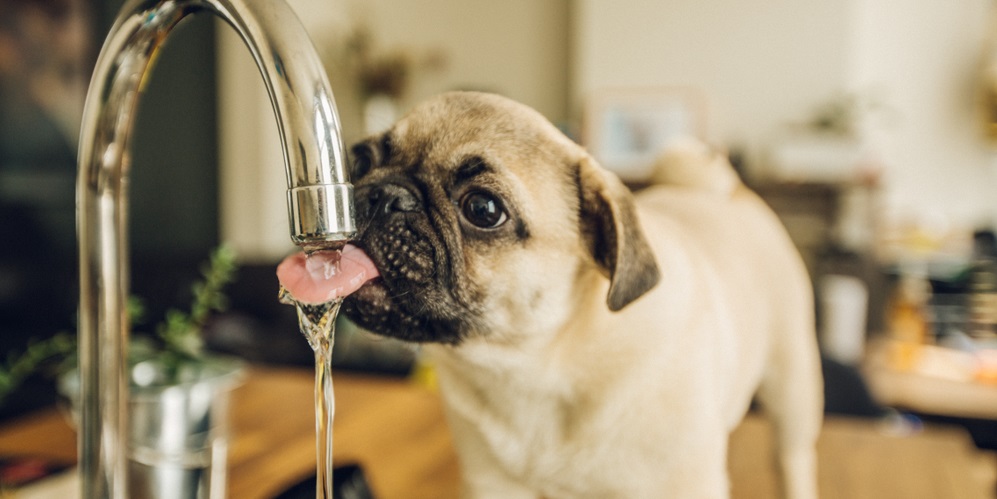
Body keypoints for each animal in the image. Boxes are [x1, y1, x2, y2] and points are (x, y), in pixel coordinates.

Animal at [278, 91, 816, 499]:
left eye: (483, 209)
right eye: (360, 160)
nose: (382, 194)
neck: (532, 365)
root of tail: (724, 190)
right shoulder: (493, 485)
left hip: (792, 390)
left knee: (793, 458)